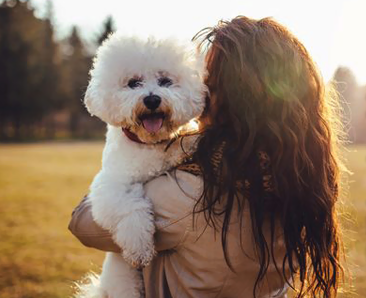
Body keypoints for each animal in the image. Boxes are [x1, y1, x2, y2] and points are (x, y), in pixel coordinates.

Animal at [76, 33, 207, 298]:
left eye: (165, 81)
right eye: (133, 83)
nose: (152, 99)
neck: (149, 143)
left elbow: (177, 144)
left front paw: (190, 140)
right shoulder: (110, 186)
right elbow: (131, 208)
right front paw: (140, 249)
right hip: (125, 282)